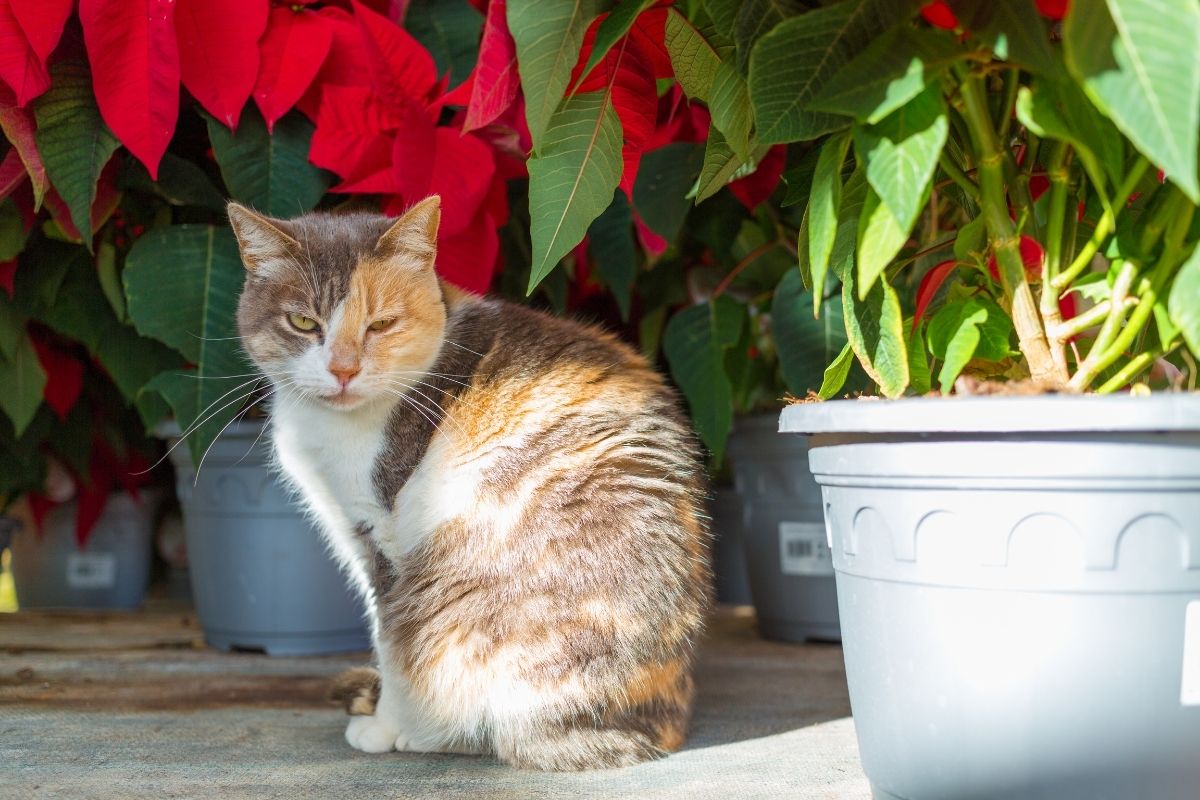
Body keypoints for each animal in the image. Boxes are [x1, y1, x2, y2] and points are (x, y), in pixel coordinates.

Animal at [229, 195, 705, 767]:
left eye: (382, 324)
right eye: (303, 322)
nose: (343, 370)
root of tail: (659, 731)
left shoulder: (385, 538)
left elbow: (390, 642)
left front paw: (385, 725)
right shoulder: (350, 529)